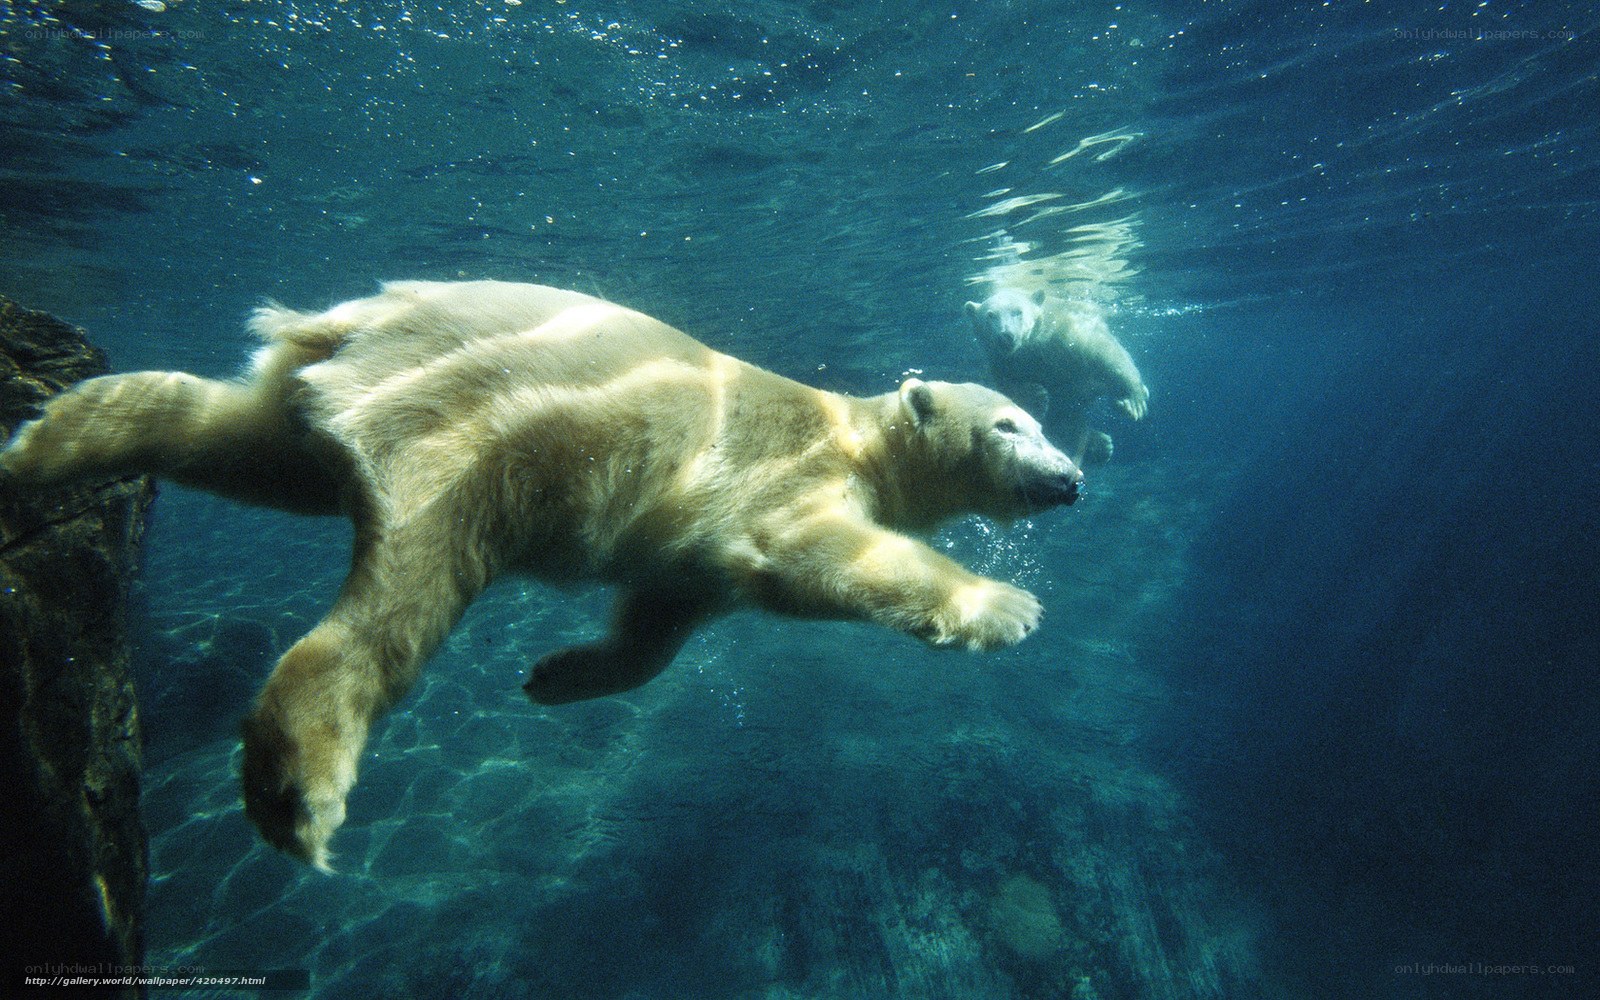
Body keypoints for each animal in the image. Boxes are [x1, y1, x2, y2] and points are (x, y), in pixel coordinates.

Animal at [1, 279, 1083, 869]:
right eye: (1011, 423)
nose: (1072, 477)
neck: (855, 431)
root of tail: (349, 321)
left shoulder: (688, 552)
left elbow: (661, 617)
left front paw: (557, 675)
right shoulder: (783, 475)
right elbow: (810, 555)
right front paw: (1005, 604)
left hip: (339, 411)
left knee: (236, 439)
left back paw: (49, 435)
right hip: (472, 430)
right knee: (398, 598)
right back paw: (299, 788)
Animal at [965, 287, 1150, 466]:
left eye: (1017, 311)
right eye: (990, 315)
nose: (1006, 336)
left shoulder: (1067, 334)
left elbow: (1105, 352)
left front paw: (1133, 401)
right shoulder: (1003, 361)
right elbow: (1008, 389)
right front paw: (1038, 396)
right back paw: (1101, 445)